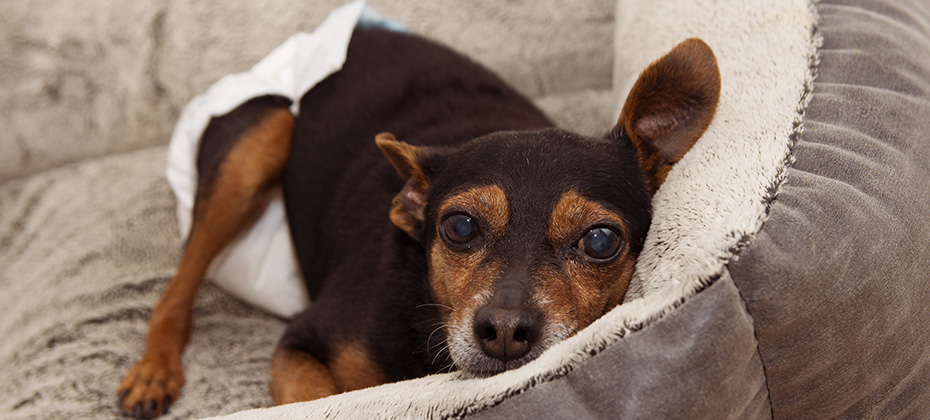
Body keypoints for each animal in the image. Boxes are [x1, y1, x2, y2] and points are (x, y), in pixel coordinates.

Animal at [116, 27, 720, 418]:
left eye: (599, 240)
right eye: (459, 228)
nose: (505, 330)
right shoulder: (302, 342)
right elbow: (323, 399)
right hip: (259, 138)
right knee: (178, 285)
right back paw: (153, 372)